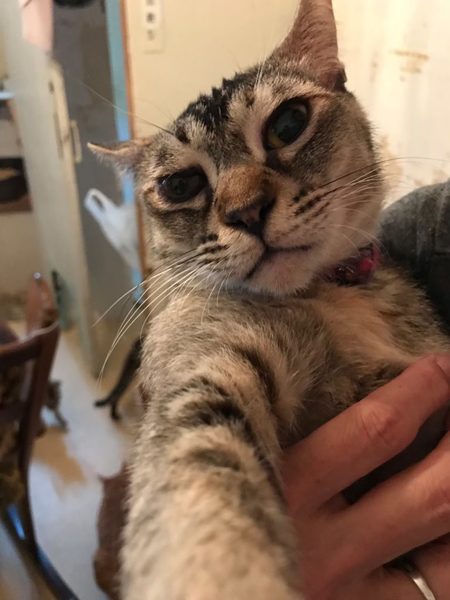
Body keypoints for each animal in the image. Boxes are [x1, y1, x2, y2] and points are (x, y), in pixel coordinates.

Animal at [91, 0, 450, 598]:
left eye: (288, 123)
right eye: (179, 185)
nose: (247, 211)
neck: (336, 298)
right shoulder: (207, 368)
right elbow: (203, 477)